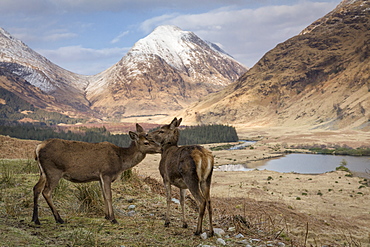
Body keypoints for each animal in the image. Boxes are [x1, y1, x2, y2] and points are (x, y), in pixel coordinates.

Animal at [33, 124, 162, 225]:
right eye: (146, 142)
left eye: (152, 139)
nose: (161, 148)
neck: (121, 162)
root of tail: (38, 148)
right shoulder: (106, 173)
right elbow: (109, 196)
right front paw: (113, 219)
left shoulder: (100, 177)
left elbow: (103, 195)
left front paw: (107, 216)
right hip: (54, 170)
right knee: (46, 191)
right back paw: (59, 219)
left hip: (43, 172)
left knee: (36, 188)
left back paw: (36, 219)